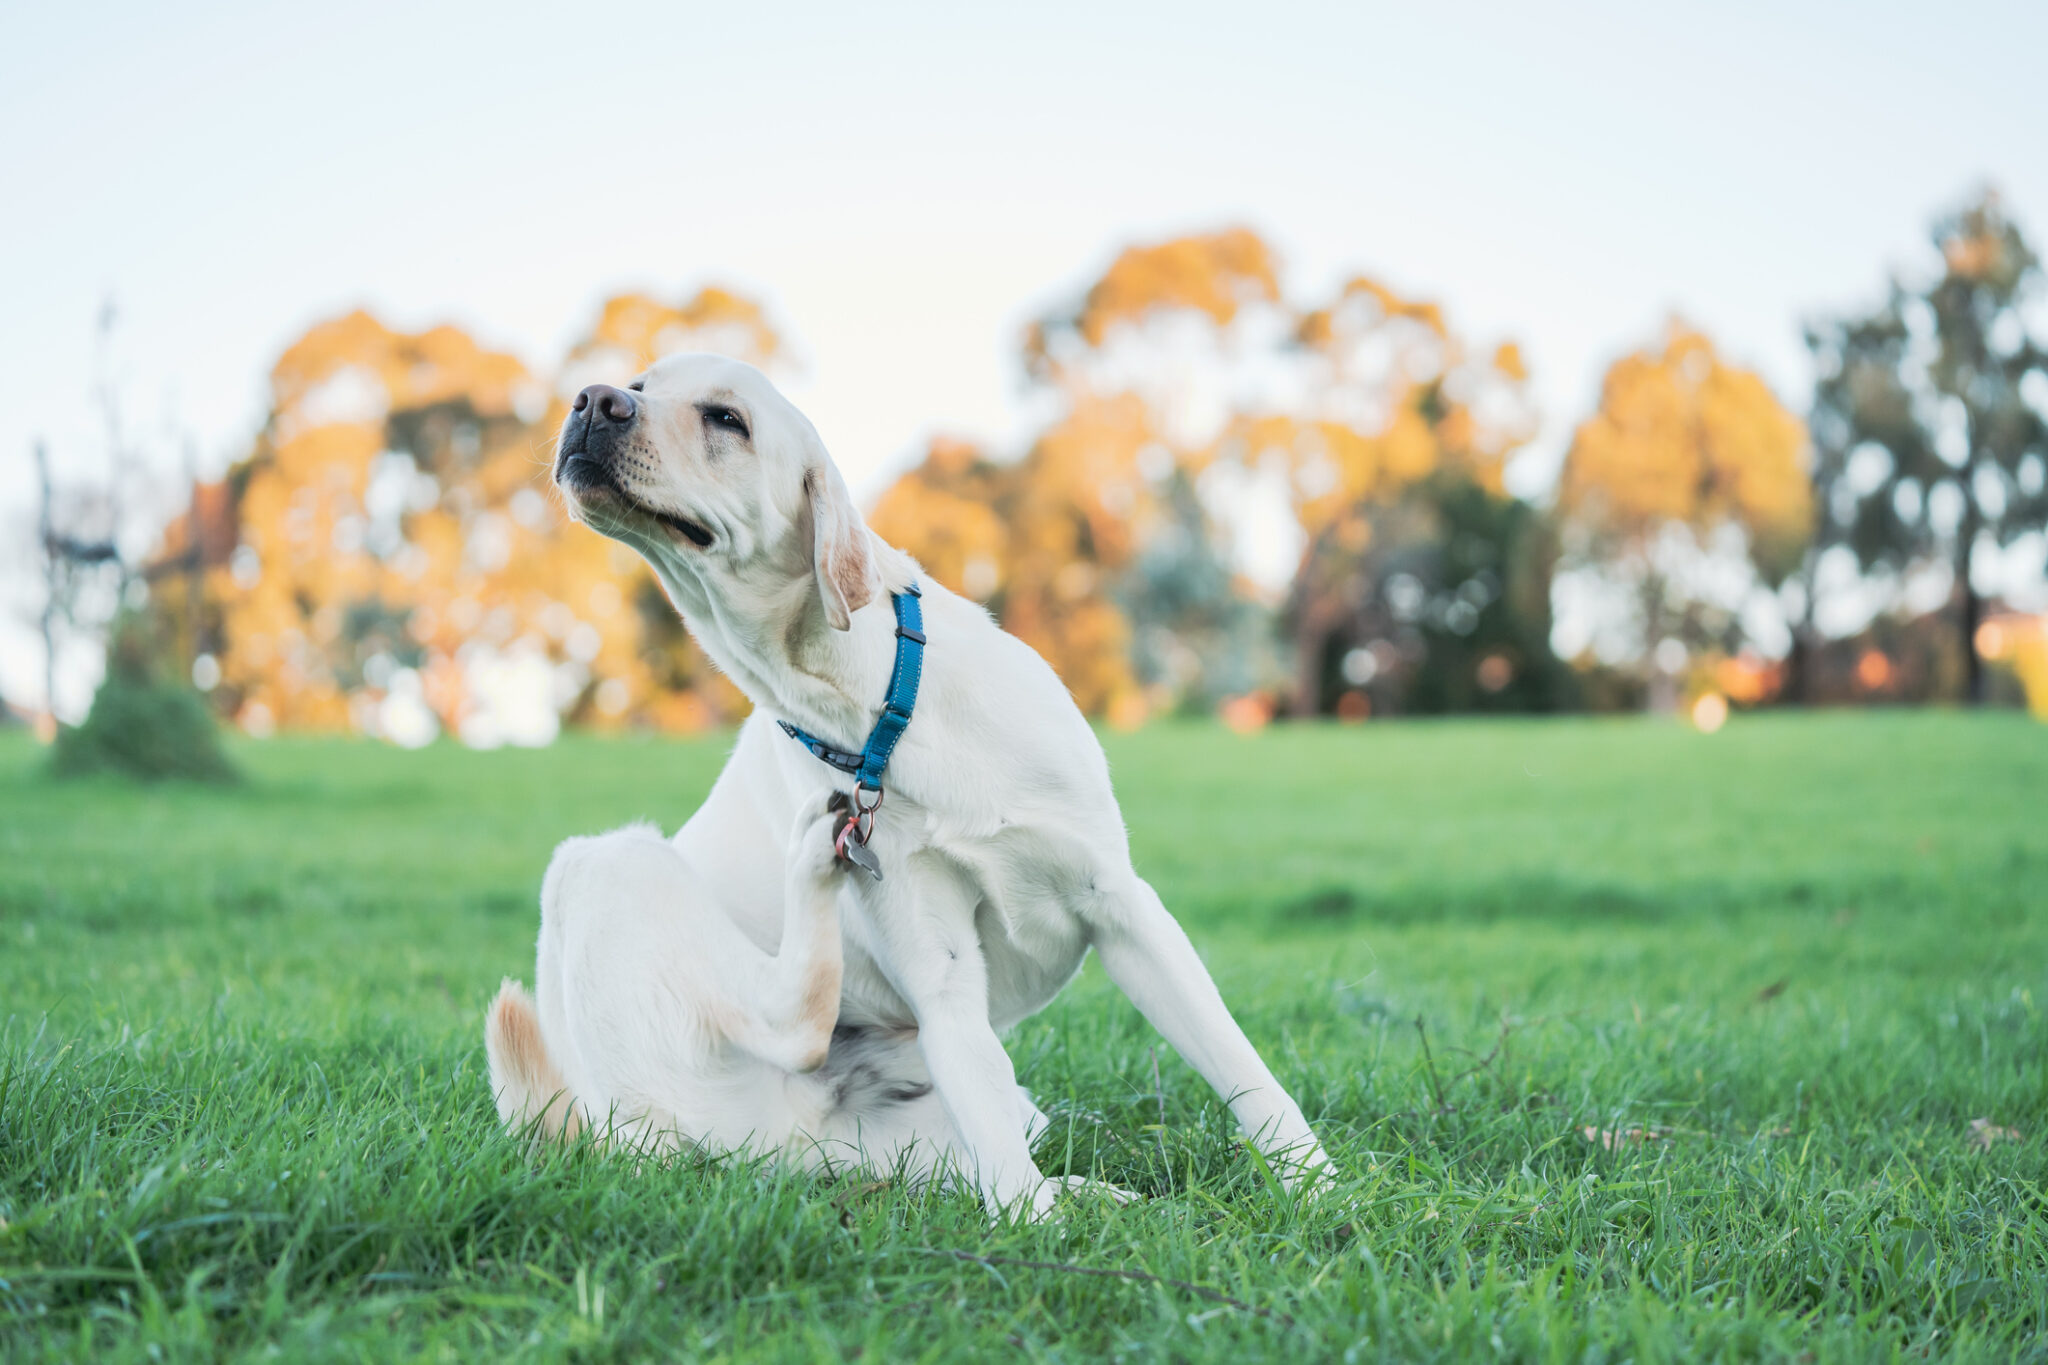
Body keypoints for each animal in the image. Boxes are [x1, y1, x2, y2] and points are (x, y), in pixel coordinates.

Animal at [487, 356, 1335, 1219]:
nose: (592, 399)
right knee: (796, 1024)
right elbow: (1010, 1177)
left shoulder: (1124, 906)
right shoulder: (942, 974)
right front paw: (1039, 1232)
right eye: (636, 383)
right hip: (602, 864)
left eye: (726, 418)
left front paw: (1320, 1189)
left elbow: (1244, 1068)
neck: (878, 712)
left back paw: (1102, 1195)